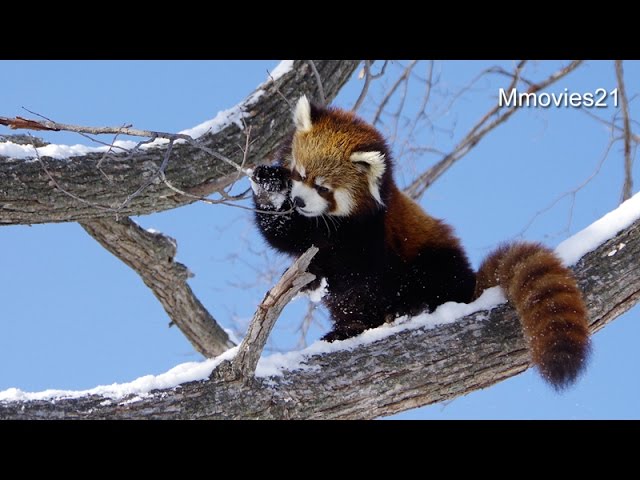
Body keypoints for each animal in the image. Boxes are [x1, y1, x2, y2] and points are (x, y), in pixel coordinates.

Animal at [250, 94, 592, 390]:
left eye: (323, 188)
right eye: (298, 173)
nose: (298, 201)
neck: (332, 225)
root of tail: (468, 282)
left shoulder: (371, 234)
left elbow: (357, 276)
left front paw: (329, 287)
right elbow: (285, 237)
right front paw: (269, 187)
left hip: (433, 259)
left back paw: (411, 307)